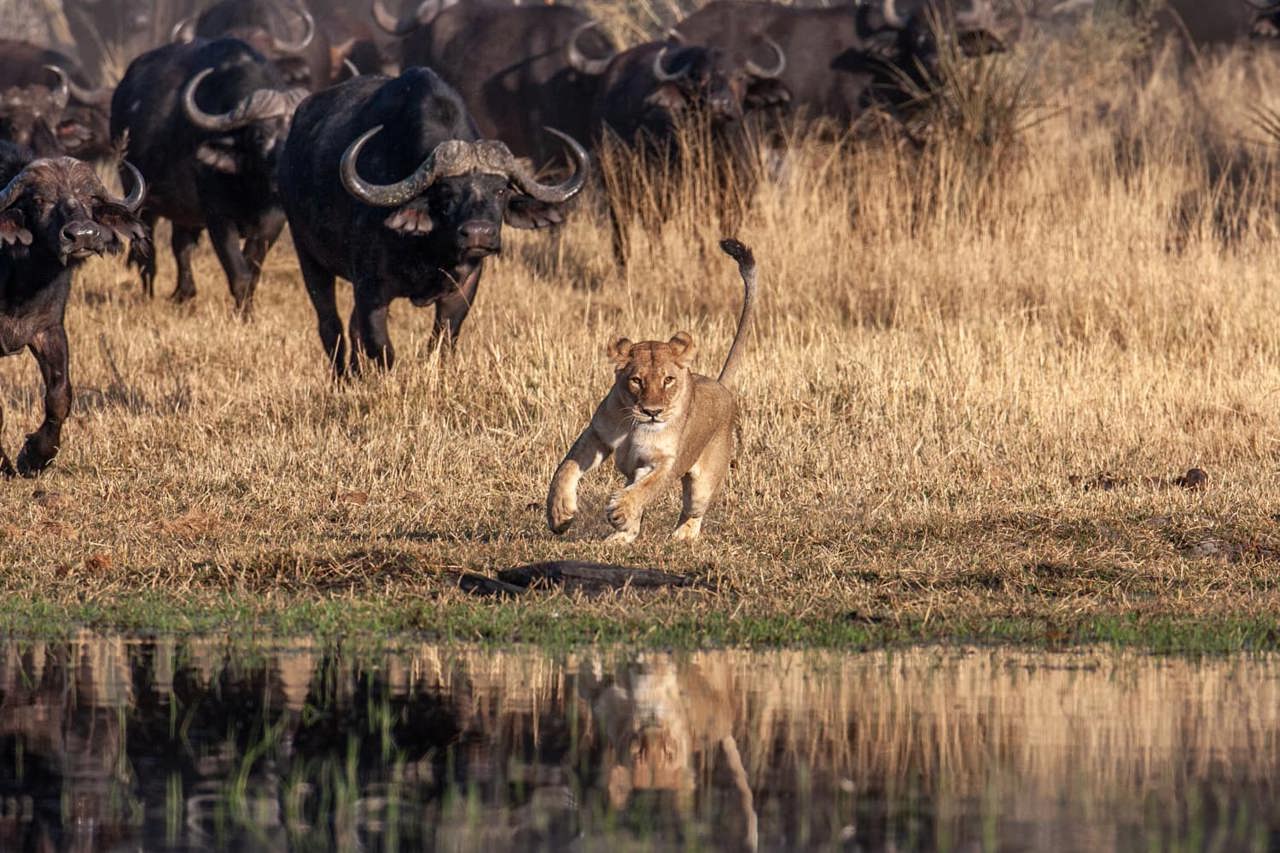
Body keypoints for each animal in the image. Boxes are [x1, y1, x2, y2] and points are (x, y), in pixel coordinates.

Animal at [0, 146, 147, 477]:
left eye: (90, 197)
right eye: (39, 200)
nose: (82, 235)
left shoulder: (49, 329)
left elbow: (60, 395)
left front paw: (36, 455)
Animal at [111, 37, 307, 309]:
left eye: (294, 133)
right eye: (259, 136)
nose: (281, 179)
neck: (250, 185)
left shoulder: (274, 219)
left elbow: (252, 269)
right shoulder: (218, 217)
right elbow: (239, 273)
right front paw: (243, 313)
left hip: (183, 210)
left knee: (181, 245)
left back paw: (184, 293)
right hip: (141, 197)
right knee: (147, 252)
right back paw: (149, 295)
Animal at [277, 67, 587, 374]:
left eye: (500, 190)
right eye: (446, 191)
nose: (478, 234)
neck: (430, 249)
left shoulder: (464, 286)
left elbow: (441, 342)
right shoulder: (369, 289)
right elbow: (382, 349)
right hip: (308, 257)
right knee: (331, 326)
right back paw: (342, 377)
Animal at [547, 238, 758, 543]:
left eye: (668, 379)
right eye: (636, 380)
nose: (652, 412)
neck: (633, 425)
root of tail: (720, 385)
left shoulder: (663, 462)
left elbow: (646, 488)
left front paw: (620, 510)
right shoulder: (597, 435)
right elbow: (566, 467)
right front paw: (559, 513)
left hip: (703, 484)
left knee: (693, 510)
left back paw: (681, 536)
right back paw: (619, 538)